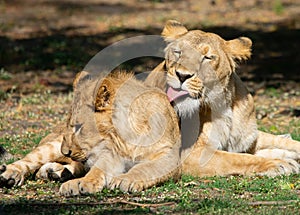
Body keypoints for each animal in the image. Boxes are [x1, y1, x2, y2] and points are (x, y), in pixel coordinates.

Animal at [144, 19, 298, 176]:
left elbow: (287, 144)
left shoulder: (249, 137)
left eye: (207, 57)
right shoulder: (189, 154)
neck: (222, 106)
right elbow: (239, 158)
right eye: (177, 52)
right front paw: (279, 164)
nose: (182, 75)